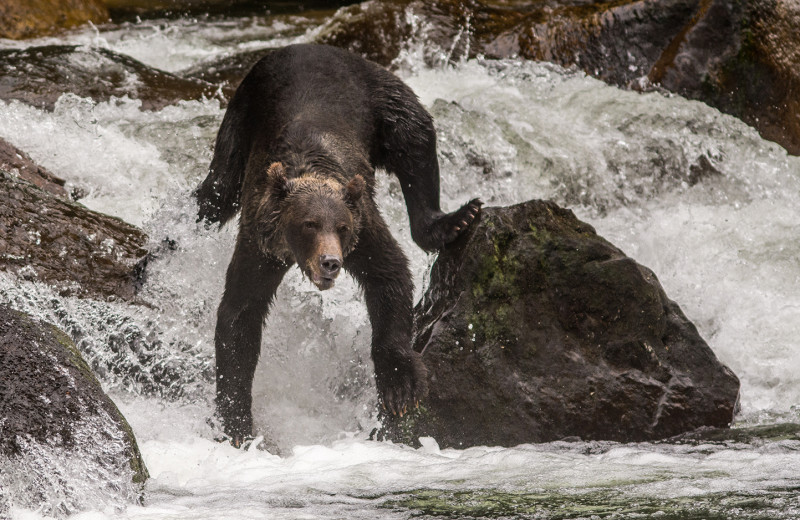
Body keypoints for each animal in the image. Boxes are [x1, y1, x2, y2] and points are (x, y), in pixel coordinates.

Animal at [195, 42, 482, 444]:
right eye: (309, 224)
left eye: (341, 227)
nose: (331, 261)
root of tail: (306, 45)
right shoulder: (260, 239)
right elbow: (241, 312)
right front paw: (236, 424)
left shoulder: (362, 226)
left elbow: (388, 273)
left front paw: (400, 387)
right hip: (242, 112)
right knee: (217, 190)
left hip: (376, 93)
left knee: (414, 135)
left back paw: (456, 219)